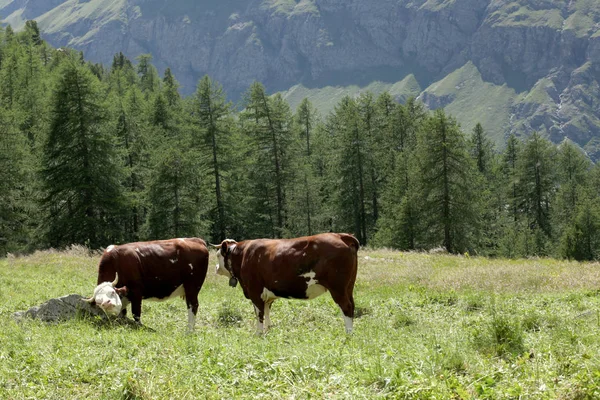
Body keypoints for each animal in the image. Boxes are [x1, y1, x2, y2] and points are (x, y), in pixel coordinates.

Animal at [213, 233, 358, 332]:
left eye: (218, 255)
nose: (216, 268)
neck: (244, 255)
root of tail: (339, 235)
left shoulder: (255, 292)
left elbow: (259, 314)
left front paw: (259, 334)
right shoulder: (267, 296)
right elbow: (267, 313)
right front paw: (267, 332)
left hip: (338, 288)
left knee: (346, 308)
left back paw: (348, 335)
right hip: (348, 287)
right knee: (352, 307)